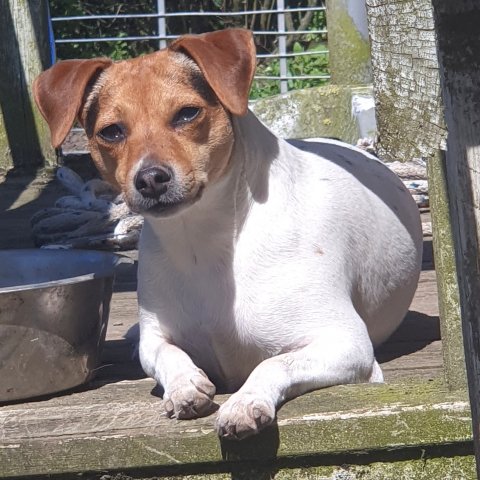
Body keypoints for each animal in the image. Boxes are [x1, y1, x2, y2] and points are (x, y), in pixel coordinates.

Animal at [33, 28, 423, 440]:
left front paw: (245, 402)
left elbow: (273, 363)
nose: (151, 179)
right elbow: (164, 354)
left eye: (187, 113)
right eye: (111, 131)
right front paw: (185, 384)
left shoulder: (346, 344)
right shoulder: (156, 337)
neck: (206, 244)